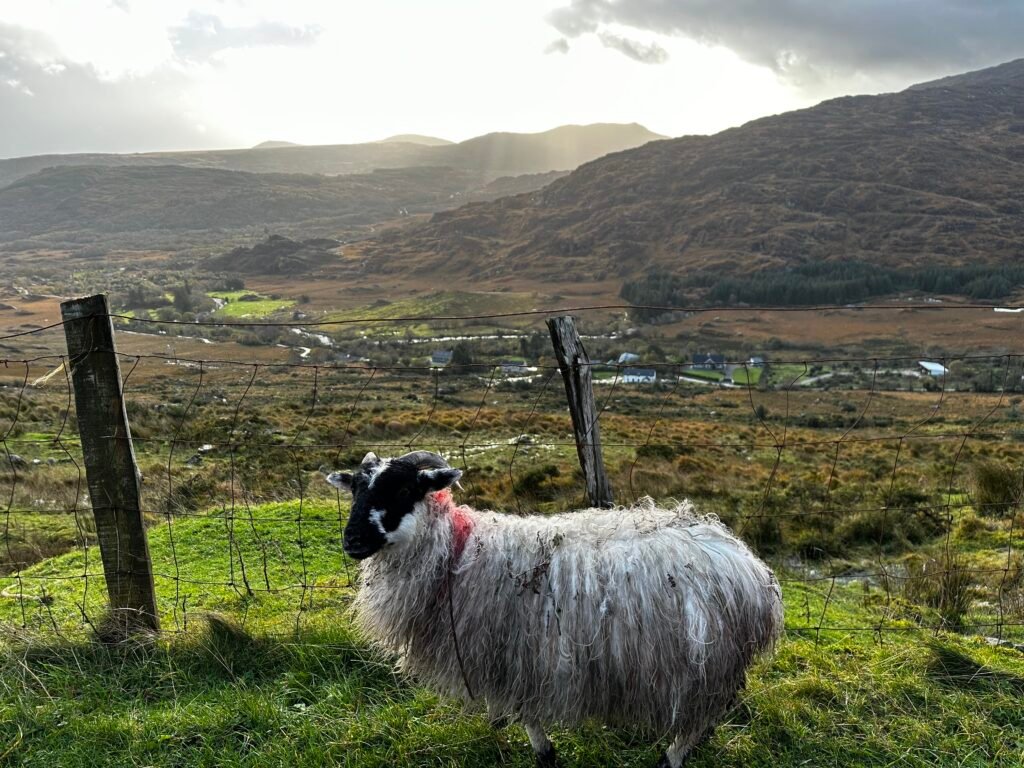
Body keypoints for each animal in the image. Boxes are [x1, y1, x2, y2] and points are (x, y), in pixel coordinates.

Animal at [328, 450, 783, 768]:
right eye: (356, 490)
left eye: (404, 490)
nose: (352, 541)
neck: (456, 552)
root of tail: (753, 571)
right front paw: (497, 721)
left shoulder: (523, 659)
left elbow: (531, 719)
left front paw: (544, 752)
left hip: (703, 667)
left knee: (695, 723)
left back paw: (670, 758)